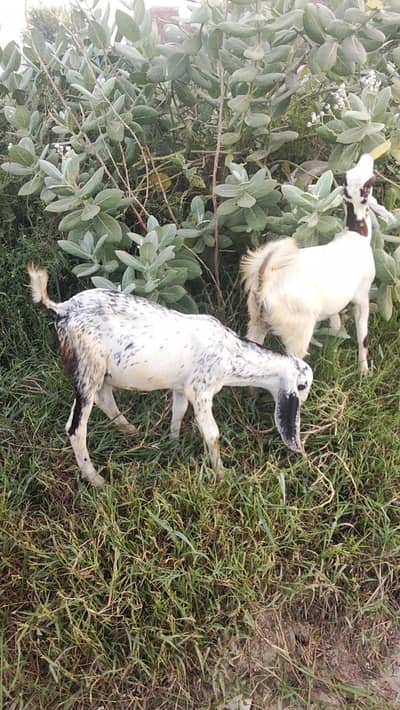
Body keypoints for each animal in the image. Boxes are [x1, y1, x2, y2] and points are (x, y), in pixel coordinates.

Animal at [28, 266, 313, 486]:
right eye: (302, 386)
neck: (232, 353)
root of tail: (63, 309)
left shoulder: (181, 388)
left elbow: (178, 412)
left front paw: (173, 444)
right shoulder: (201, 392)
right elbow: (212, 435)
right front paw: (223, 475)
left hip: (98, 372)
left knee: (105, 399)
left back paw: (131, 431)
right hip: (87, 369)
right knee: (76, 429)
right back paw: (96, 480)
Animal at [241, 154, 393, 373]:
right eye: (369, 183)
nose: (368, 157)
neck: (356, 235)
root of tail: (264, 281)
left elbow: (336, 324)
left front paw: (333, 351)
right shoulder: (362, 296)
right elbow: (362, 335)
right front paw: (364, 370)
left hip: (256, 323)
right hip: (298, 333)